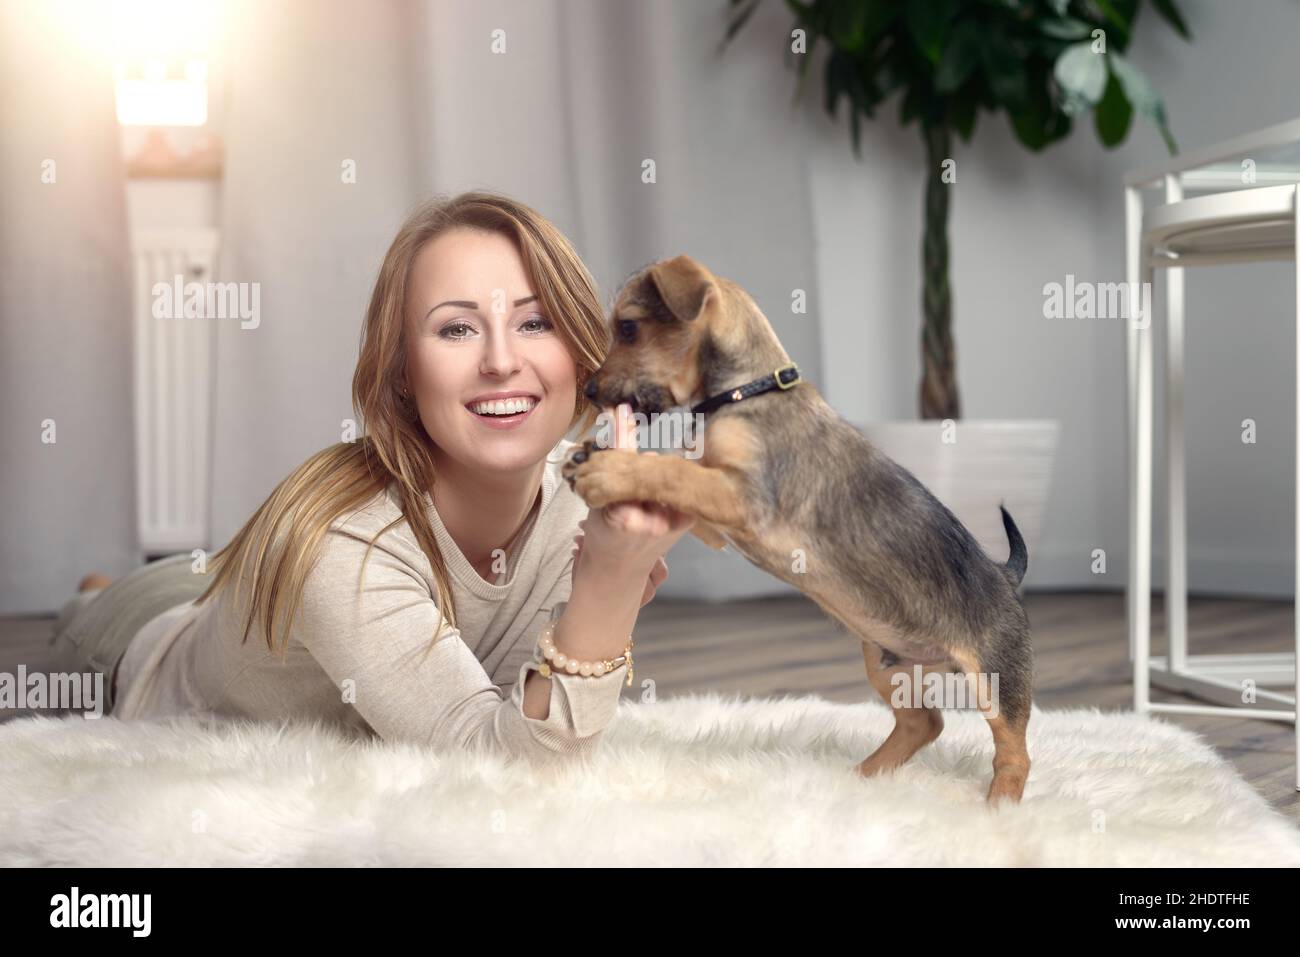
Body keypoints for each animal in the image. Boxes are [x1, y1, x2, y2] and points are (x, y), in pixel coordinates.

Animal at [564, 256, 1029, 806]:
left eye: (629, 328)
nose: (590, 392)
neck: (745, 391)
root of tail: (1006, 576)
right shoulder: (715, 518)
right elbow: (680, 471)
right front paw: (597, 459)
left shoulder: (745, 497)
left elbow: (672, 469)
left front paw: (610, 469)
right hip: (886, 663)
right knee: (924, 724)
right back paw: (862, 778)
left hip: (994, 681)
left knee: (1013, 754)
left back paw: (997, 808)